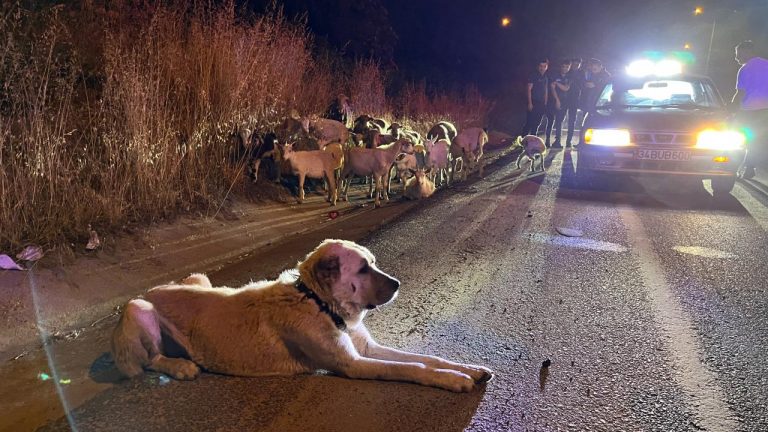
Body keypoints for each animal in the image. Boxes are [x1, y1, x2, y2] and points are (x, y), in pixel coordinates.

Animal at [111, 239, 493, 392]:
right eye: (363, 268)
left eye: (373, 262)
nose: (398, 284)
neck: (317, 301)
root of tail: (150, 289)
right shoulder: (354, 365)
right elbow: (412, 368)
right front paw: (453, 380)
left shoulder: (365, 349)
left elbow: (427, 358)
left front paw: (467, 369)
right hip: (139, 309)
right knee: (147, 361)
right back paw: (181, 367)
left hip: (200, 278)